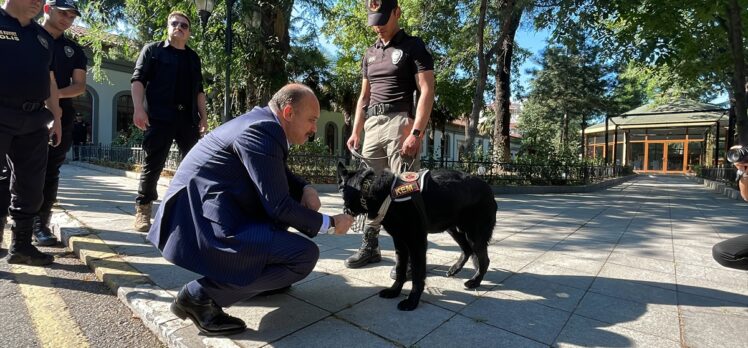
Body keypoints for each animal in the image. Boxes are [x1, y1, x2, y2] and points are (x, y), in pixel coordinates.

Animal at [338, 163, 496, 310]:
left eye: (342, 192)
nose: (344, 211)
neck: (385, 194)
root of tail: (488, 188)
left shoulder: (417, 243)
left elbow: (417, 275)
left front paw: (412, 301)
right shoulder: (400, 243)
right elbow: (400, 269)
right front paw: (395, 290)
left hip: (474, 236)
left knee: (484, 259)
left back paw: (475, 281)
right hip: (454, 229)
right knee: (467, 250)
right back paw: (455, 269)